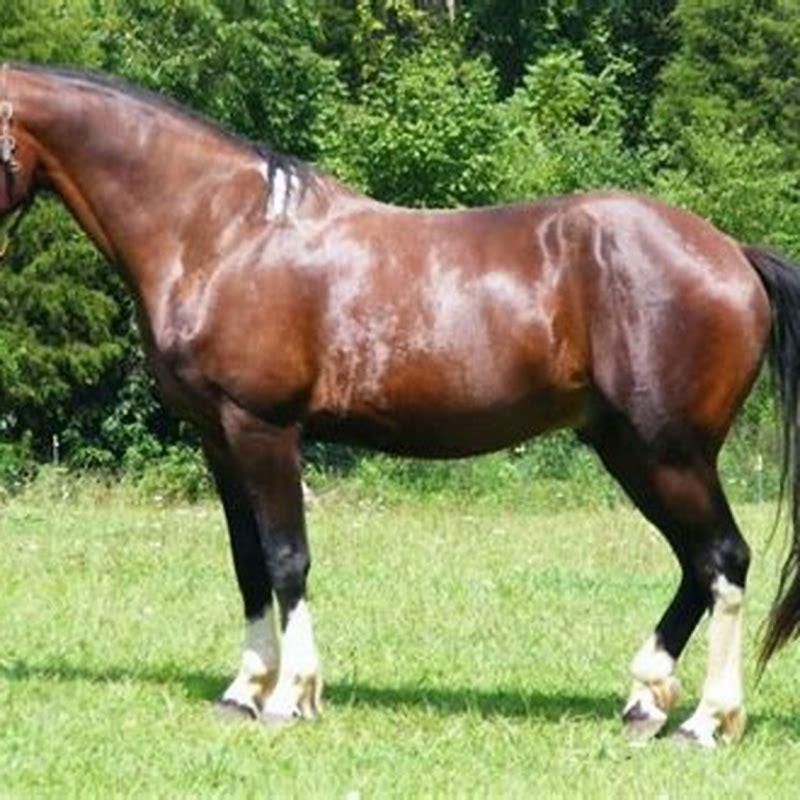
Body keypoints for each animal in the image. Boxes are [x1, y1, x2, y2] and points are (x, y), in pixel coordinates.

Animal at [3, 62, 800, 748]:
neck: (221, 232)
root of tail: (732, 253)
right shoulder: (218, 437)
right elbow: (248, 563)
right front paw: (243, 689)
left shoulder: (264, 428)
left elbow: (287, 559)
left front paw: (290, 696)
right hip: (629, 448)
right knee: (698, 564)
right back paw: (644, 702)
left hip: (669, 450)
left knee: (724, 560)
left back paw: (705, 721)